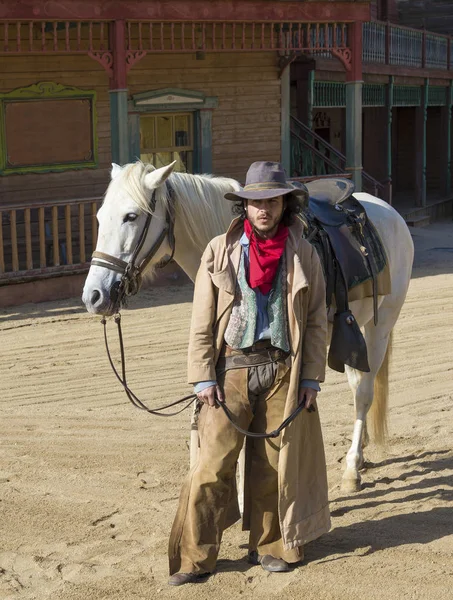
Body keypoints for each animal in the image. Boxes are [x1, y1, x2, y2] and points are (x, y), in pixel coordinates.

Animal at [81, 161, 414, 492]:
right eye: (100, 216)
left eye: (131, 216)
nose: (93, 295)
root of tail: (390, 212)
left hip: (380, 326)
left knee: (363, 392)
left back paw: (352, 469)